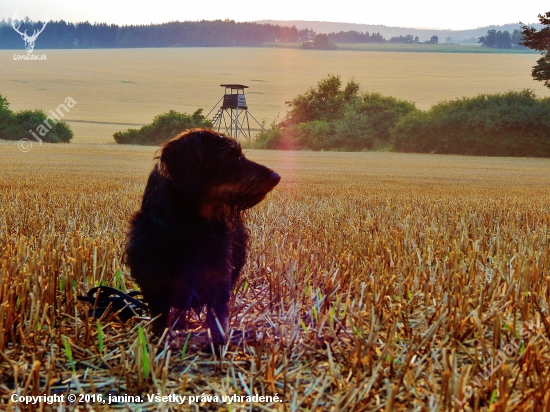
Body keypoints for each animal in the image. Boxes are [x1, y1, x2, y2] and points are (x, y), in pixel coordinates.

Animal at [125, 128, 280, 344]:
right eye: (229, 156)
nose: (277, 176)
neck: (190, 230)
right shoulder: (154, 284)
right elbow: (159, 321)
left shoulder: (218, 280)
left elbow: (217, 319)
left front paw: (218, 344)